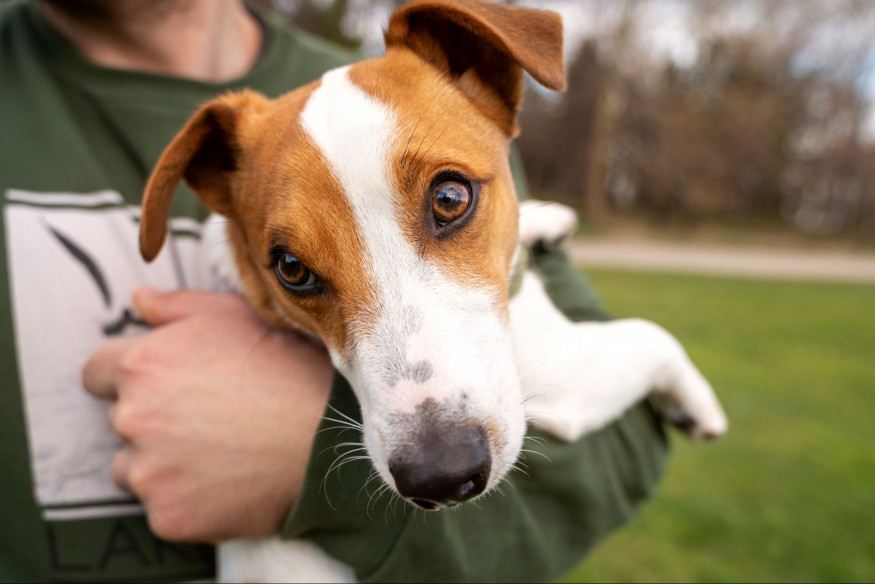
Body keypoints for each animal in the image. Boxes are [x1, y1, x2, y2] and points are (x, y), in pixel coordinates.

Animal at [137, 0, 728, 580]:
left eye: (449, 197)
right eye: (291, 268)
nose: (441, 475)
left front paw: (542, 219)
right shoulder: (561, 373)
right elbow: (654, 336)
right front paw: (697, 403)